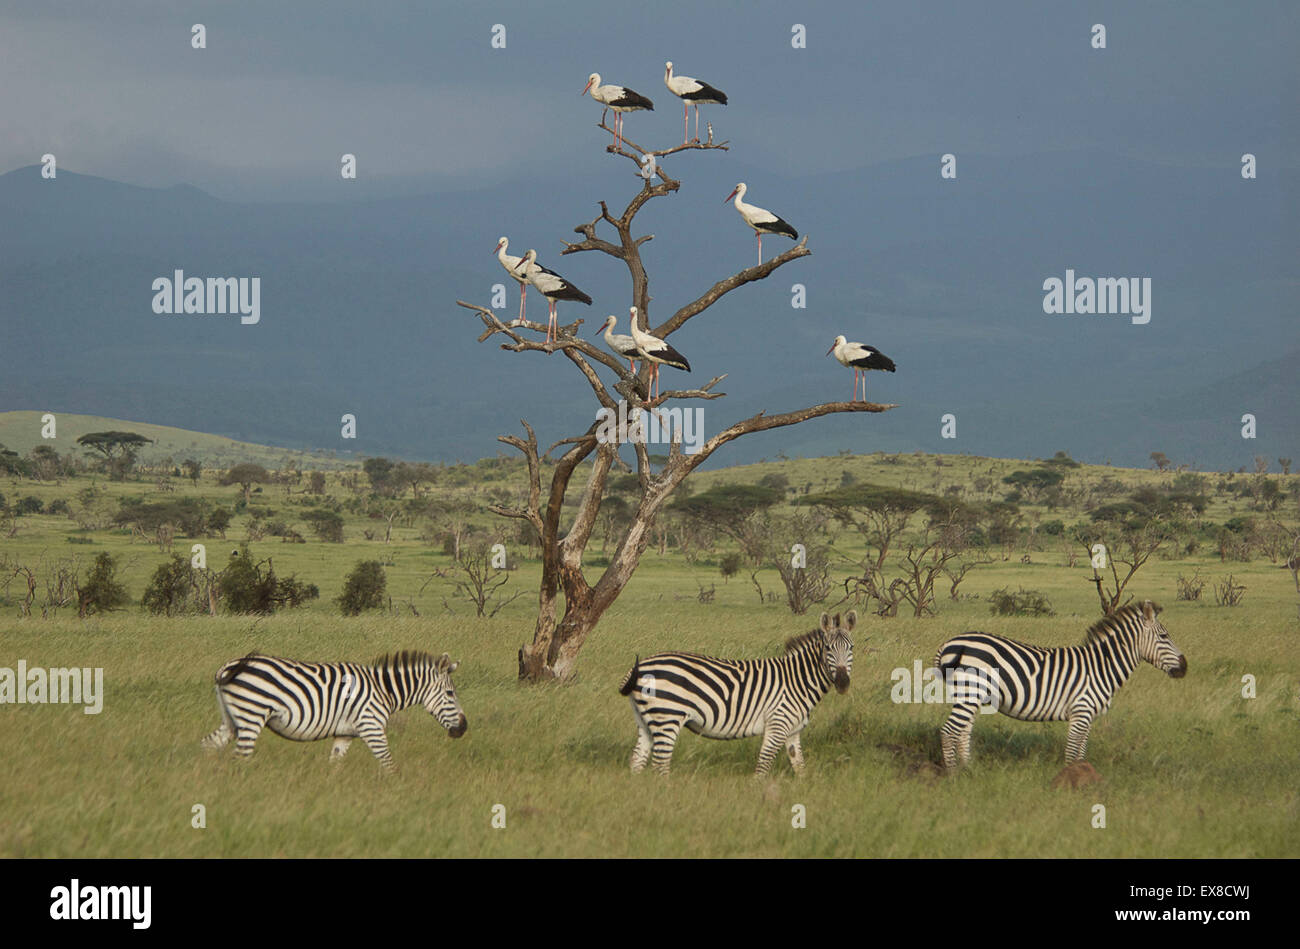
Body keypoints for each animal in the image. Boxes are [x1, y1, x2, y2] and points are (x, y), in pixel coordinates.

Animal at [202, 650, 467, 769]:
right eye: (450, 694)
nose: (463, 728)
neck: (384, 691)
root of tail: (229, 666)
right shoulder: (371, 727)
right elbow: (388, 764)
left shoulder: (344, 734)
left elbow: (335, 765)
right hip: (252, 715)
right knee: (240, 757)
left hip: (232, 720)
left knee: (208, 744)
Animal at [616, 611, 857, 774]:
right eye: (828, 649)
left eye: (851, 648)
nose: (843, 683)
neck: (797, 680)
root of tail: (641, 666)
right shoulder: (777, 725)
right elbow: (763, 767)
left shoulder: (792, 732)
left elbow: (800, 768)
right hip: (668, 717)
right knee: (660, 764)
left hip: (646, 720)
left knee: (637, 761)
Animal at [935, 598, 1190, 769]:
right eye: (1164, 636)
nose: (1185, 666)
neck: (1102, 666)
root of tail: (951, 642)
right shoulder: (1081, 711)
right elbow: (1072, 752)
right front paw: (1070, 784)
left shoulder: (1087, 716)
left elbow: (1080, 752)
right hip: (970, 693)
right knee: (949, 731)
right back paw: (954, 774)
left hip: (971, 696)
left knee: (963, 731)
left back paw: (968, 769)